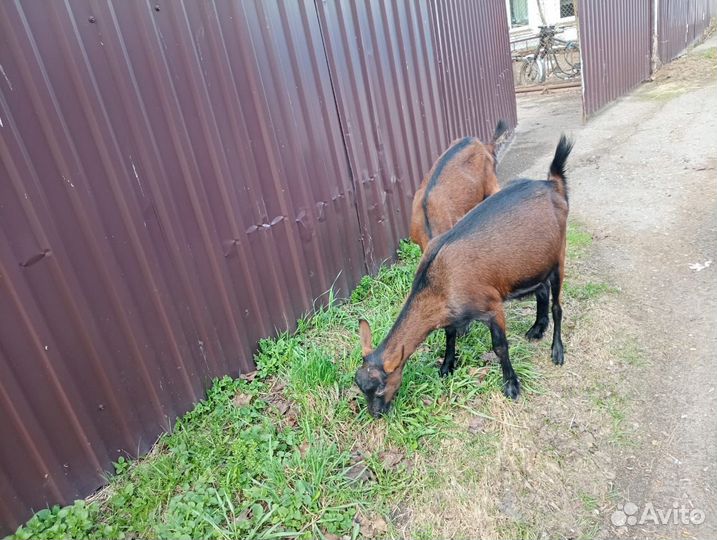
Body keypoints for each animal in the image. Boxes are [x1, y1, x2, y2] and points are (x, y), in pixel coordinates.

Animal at [355, 135, 574, 417]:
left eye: (381, 389)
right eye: (361, 387)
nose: (376, 414)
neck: (439, 280)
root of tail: (553, 184)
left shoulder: (491, 304)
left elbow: (500, 346)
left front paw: (512, 385)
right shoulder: (451, 310)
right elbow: (449, 334)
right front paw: (447, 365)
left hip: (559, 255)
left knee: (558, 305)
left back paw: (557, 351)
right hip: (534, 262)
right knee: (542, 289)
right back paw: (537, 328)